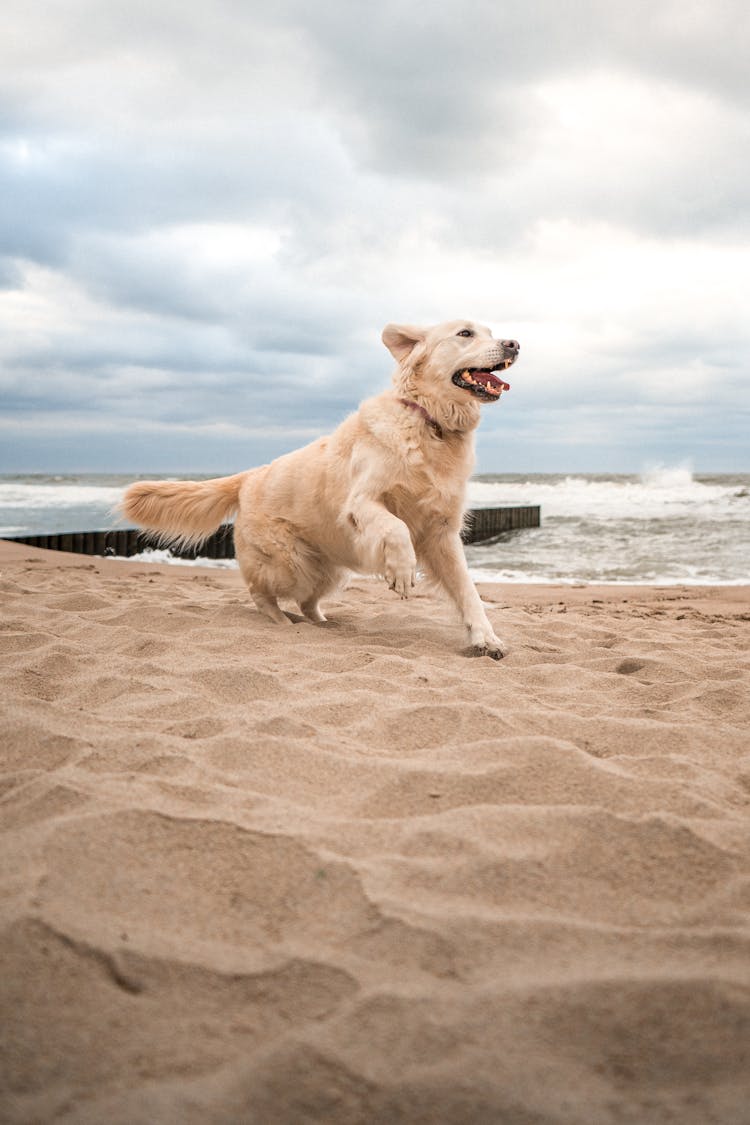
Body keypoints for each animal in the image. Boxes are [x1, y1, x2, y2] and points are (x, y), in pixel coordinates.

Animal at [124, 321, 521, 657]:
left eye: (490, 331)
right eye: (465, 333)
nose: (514, 344)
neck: (431, 423)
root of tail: (249, 476)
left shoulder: (442, 533)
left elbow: (468, 592)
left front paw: (486, 638)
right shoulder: (362, 502)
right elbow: (396, 528)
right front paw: (402, 571)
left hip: (330, 569)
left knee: (307, 601)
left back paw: (323, 624)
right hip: (290, 564)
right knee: (261, 592)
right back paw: (282, 622)